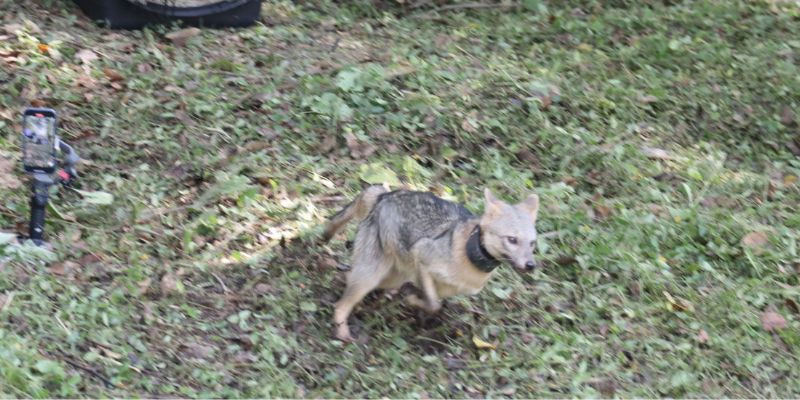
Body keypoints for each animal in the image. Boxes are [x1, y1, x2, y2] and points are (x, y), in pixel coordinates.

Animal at [318, 187, 536, 340]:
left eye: (533, 243)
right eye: (512, 240)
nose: (531, 265)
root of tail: (386, 195)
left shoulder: (442, 287)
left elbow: (434, 303)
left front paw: (414, 301)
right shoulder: (421, 255)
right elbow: (433, 304)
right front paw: (412, 300)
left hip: (390, 277)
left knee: (351, 278)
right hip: (370, 276)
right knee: (341, 304)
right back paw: (342, 333)